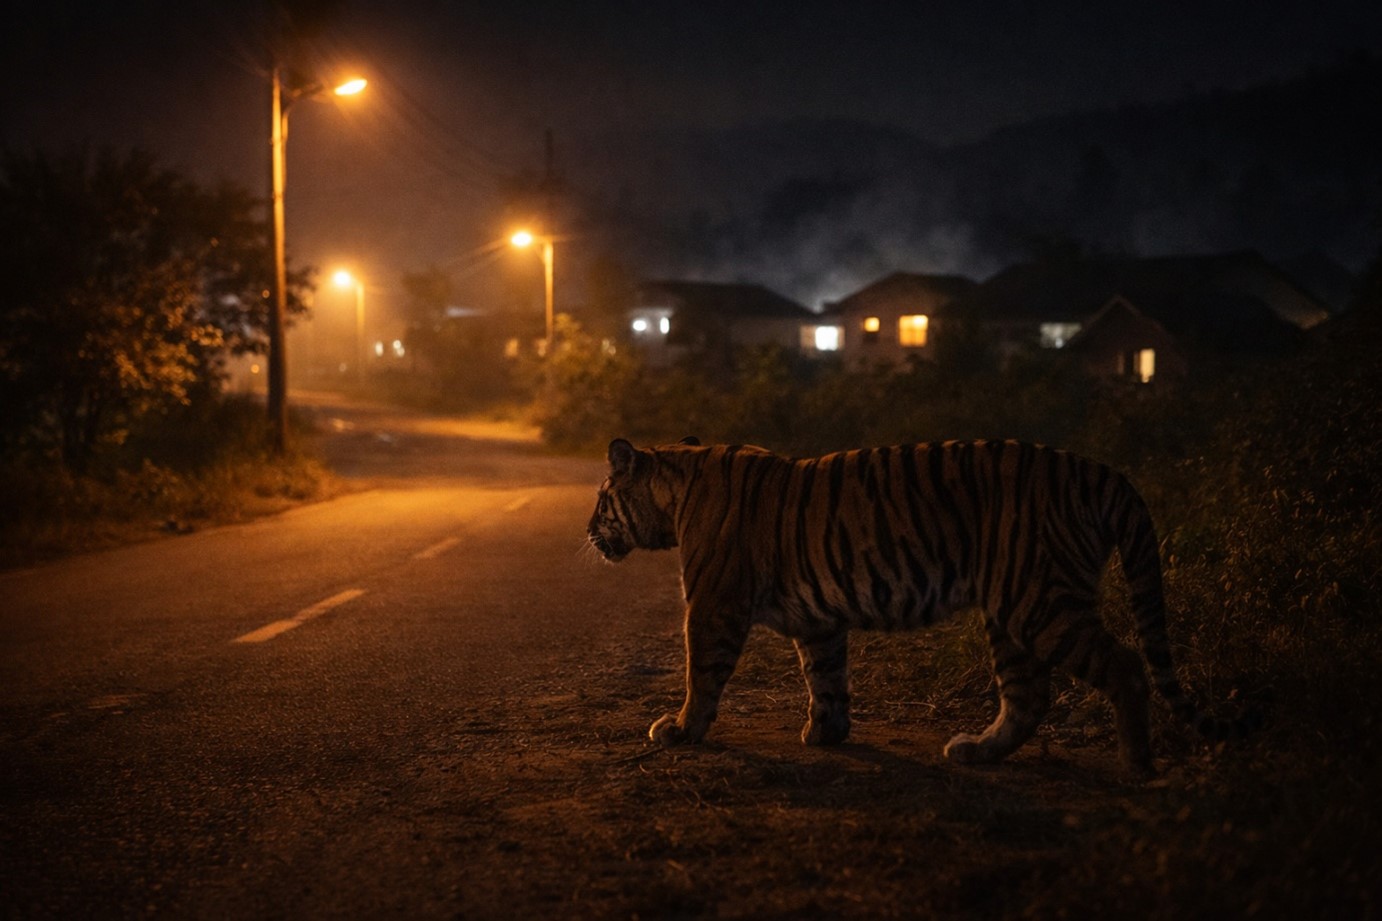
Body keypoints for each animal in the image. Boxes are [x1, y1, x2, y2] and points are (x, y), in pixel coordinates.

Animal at [587, 436, 1248, 776]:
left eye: (600, 500)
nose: (589, 531)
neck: (674, 490)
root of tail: (1103, 473)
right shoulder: (820, 620)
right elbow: (825, 675)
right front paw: (826, 731)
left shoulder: (713, 603)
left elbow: (701, 674)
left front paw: (679, 730)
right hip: (1011, 610)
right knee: (1029, 696)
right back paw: (978, 750)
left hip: (1038, 601)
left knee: (1127, 668)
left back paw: (1136, 765)